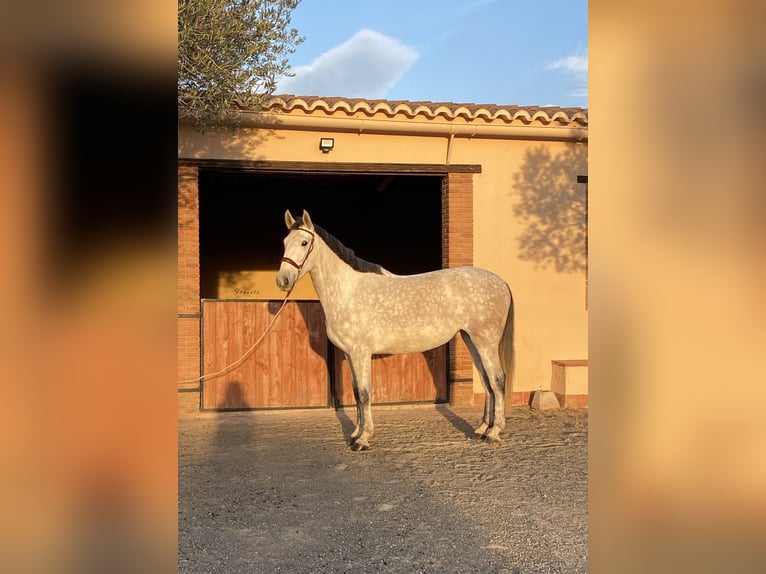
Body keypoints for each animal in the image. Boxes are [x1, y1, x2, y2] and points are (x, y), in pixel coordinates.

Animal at [276, 209, 516, 452]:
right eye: (284, 242)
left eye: (304, 242)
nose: (283, 280)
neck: (348, 290)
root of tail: (502, 282)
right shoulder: (350, 354)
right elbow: (356, 393)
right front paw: (355, 434)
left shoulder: (361, 353)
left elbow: (365, 394)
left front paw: (363, 439)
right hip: (471, 340)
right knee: (486, 382)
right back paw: (481, 429)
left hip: (485, 342)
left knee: (497, 381)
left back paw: (494, 433)